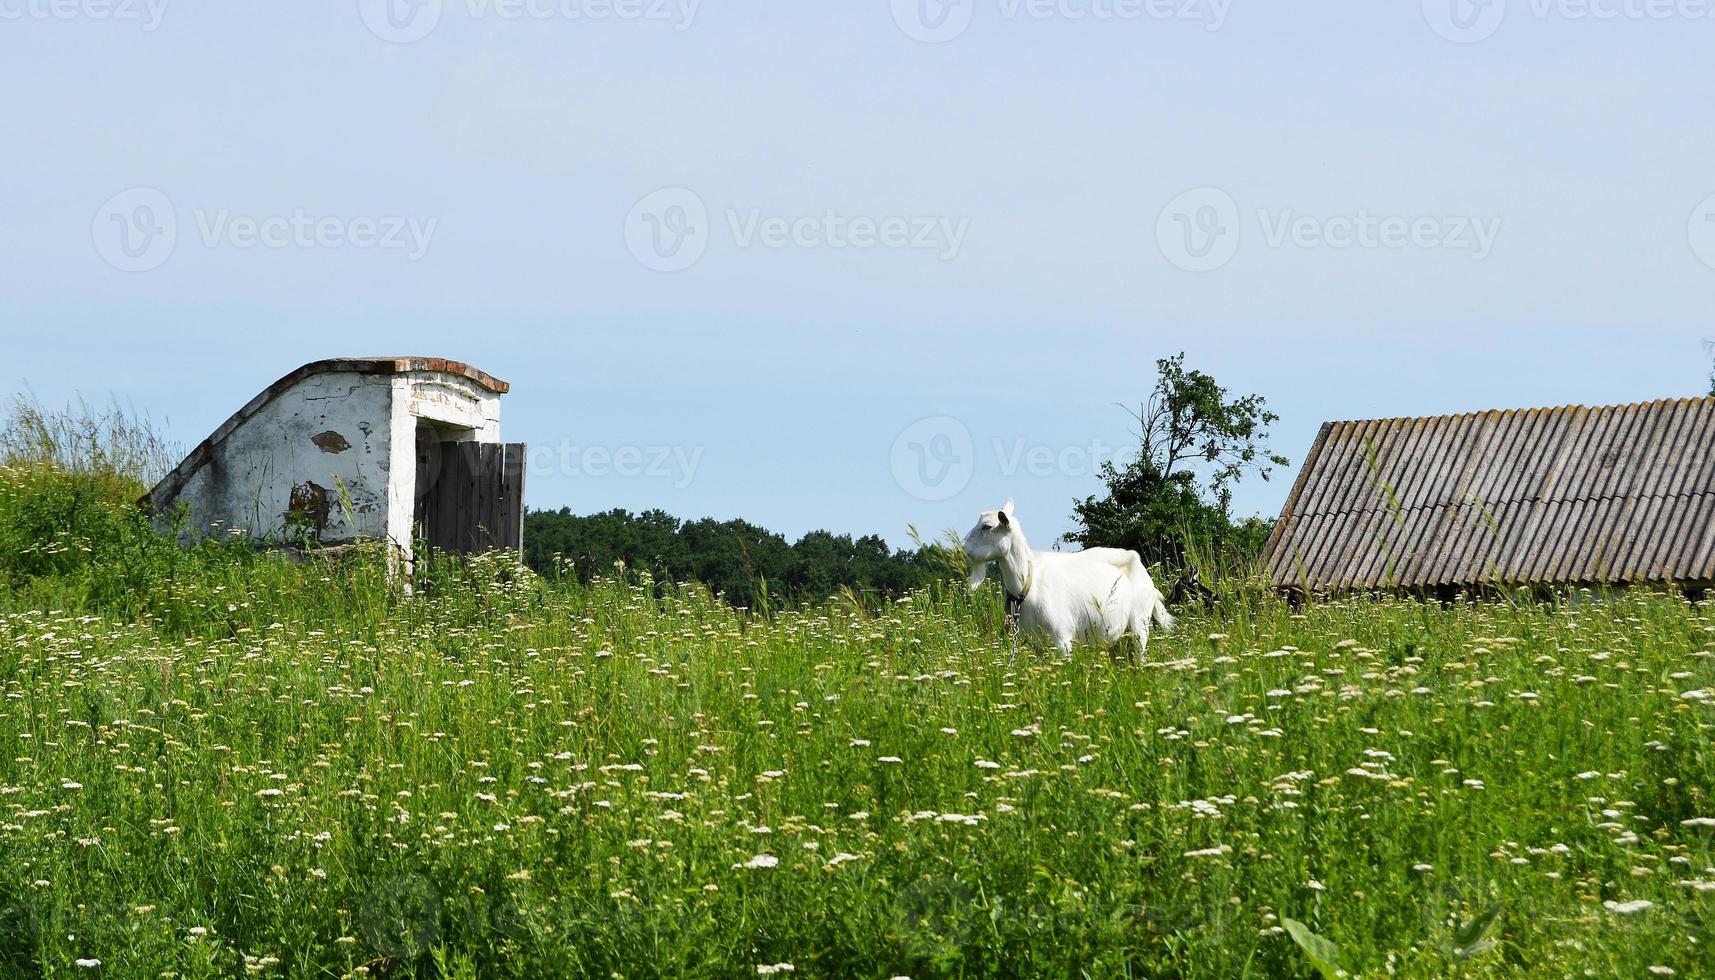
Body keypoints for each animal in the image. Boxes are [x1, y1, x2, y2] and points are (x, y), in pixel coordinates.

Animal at [960, 497, 1173, 659]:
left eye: (987, 526)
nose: (962, 549)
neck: (1028, 584)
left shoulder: (1061, 639)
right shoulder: (1035, 643)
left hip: (1139, 624)